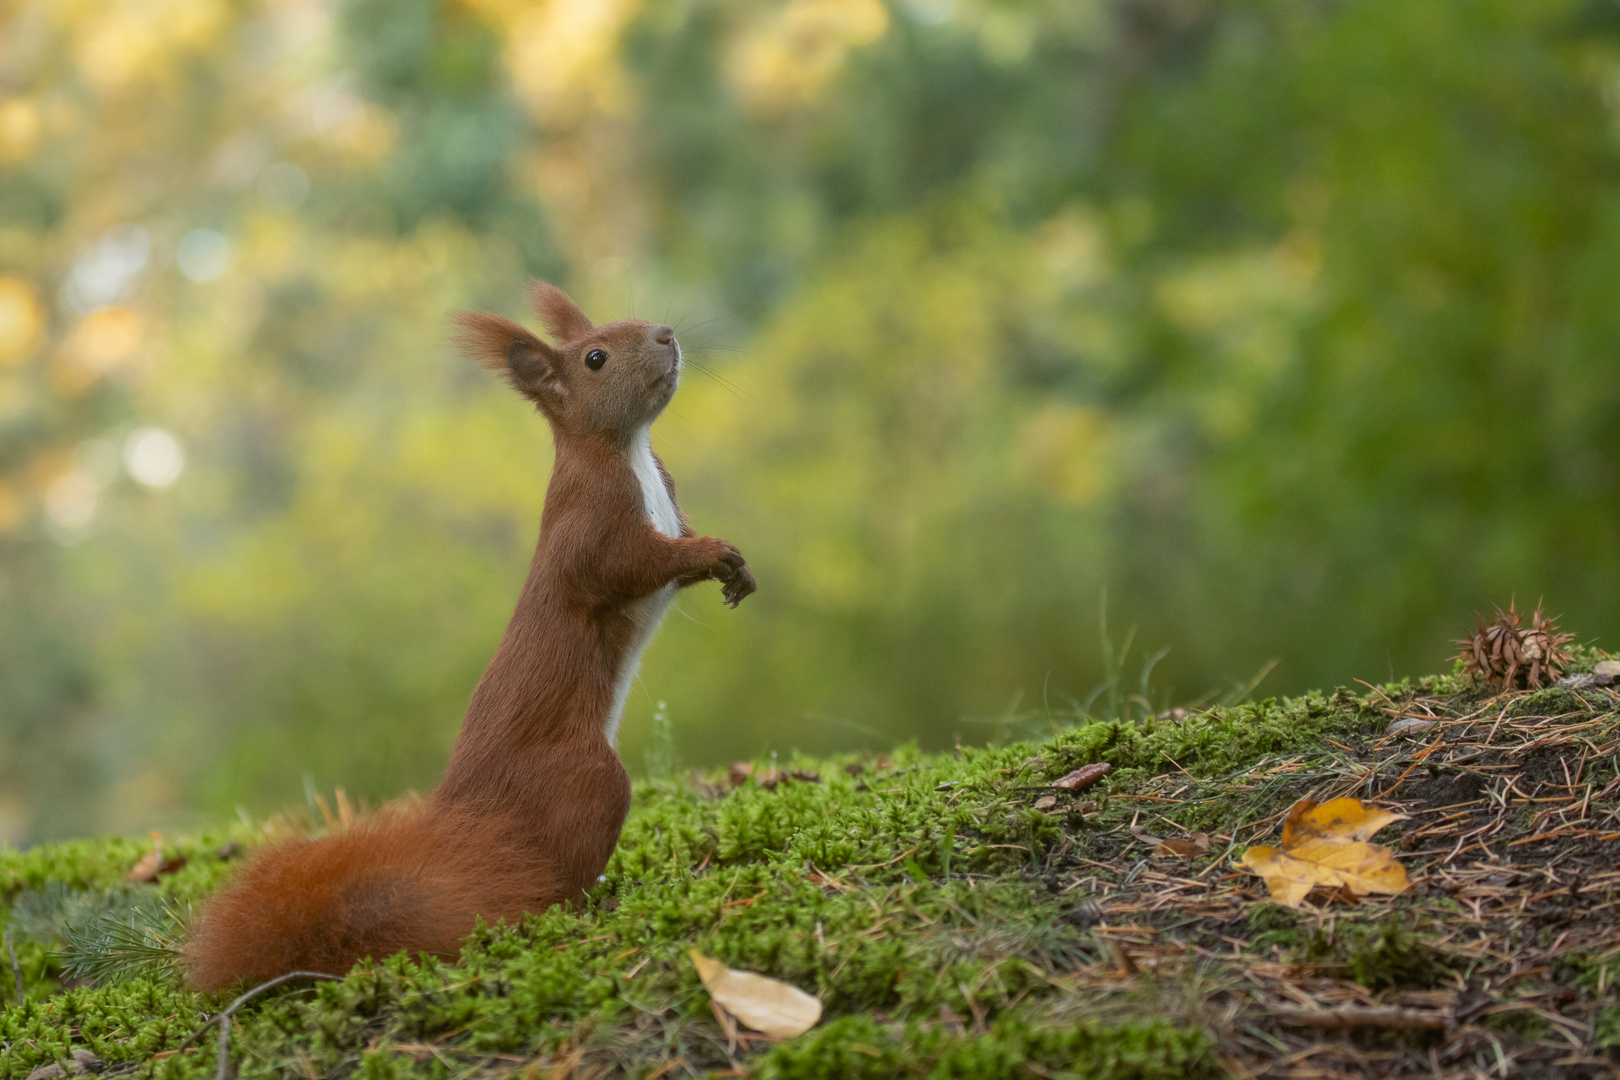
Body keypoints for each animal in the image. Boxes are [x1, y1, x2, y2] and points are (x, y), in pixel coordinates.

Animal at [182, 283, 751, 990]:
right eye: (595, 357)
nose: (668, 335)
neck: (632, 452)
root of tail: (469, 813)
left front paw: (734, 568)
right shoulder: (592, 528)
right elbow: (627, 567)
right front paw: (712, 552)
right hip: (585, 780)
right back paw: (578, 903)